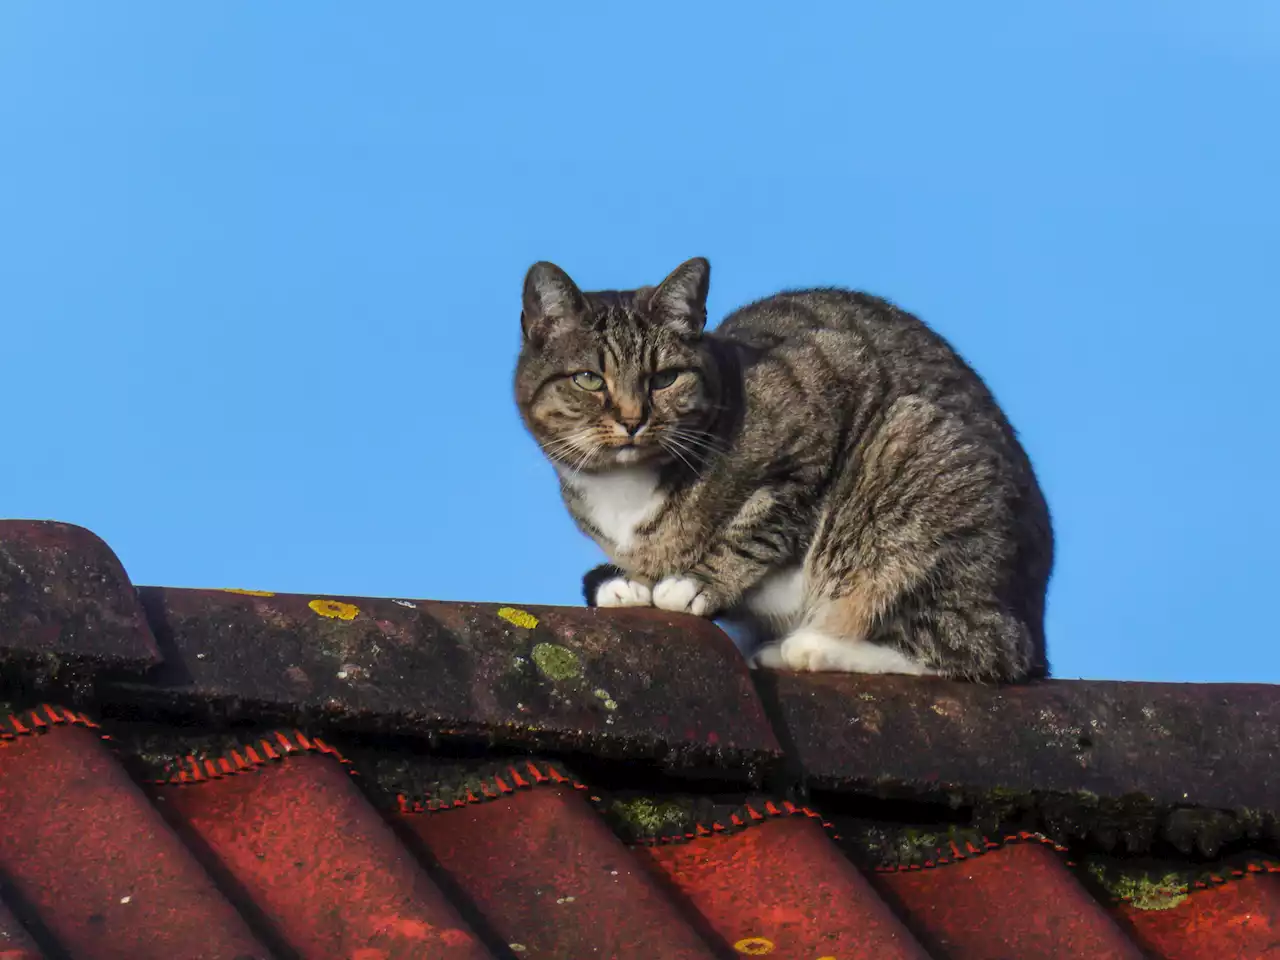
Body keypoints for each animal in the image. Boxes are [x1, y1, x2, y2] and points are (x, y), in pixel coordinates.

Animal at [514, 253, 1054, 675]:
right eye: (589, 379)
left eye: (664, 378)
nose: (632, 419)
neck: (624, 488)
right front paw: (626, 584)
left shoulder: (825, 402)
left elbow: (761, 521)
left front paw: (694, 583)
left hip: (911, 451)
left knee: (979, 649)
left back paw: (810, 647)